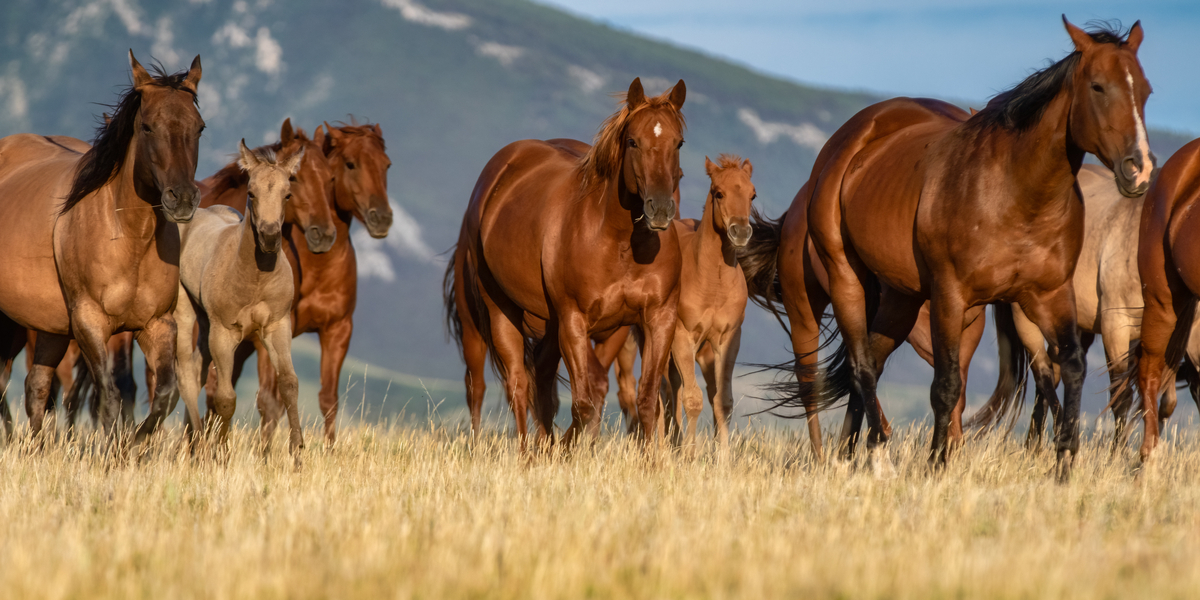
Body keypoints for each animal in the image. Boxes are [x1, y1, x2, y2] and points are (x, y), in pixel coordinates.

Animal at [0, 51, 202, 446]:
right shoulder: (89, 323)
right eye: (147, 127)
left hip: (48, 326)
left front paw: (135, 445)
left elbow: (165, 394)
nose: (183, 199)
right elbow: (108, 396)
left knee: (37, 387)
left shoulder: (157, 325)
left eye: (199, 127)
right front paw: (113, 450)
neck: (128, 238)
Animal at [177, 140, 309, 463]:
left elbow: (289, 384)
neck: (254, 277)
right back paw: (200, 445)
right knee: (186, 374)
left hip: (205, 321)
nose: (270, 237)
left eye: (287, 194)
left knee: (197, 369)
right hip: (186, 312)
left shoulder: (277, 326)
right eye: (251, 192)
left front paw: (297, 453)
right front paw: (221, 454)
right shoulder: (224, 333)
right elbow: (225, 397)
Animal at [444, 78, 686, 446]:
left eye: (679, 142)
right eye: (633, 141)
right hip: (490, 315)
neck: (619, 244)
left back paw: (543, 447)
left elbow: (644, 401)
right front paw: (568, 450)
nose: (660, 209)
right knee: (501, 384)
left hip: (553, 325)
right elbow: (584, 402)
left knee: (541, 380)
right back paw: (519, 451)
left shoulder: (655, 319)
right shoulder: (573, 321)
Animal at [758, 18, 1152, 477]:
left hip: (903, 298)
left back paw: (860, 452)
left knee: (871, 360)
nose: (1139, 169)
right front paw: (936, 466)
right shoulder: (952, 295)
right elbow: (946, 386)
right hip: (846, 280)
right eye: (1098, 86)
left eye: (1145, 90)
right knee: (861, 366)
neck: (1015, 193)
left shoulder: (1048, 295)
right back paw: (876, 456)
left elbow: (1071, 367)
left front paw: (1064, 465)